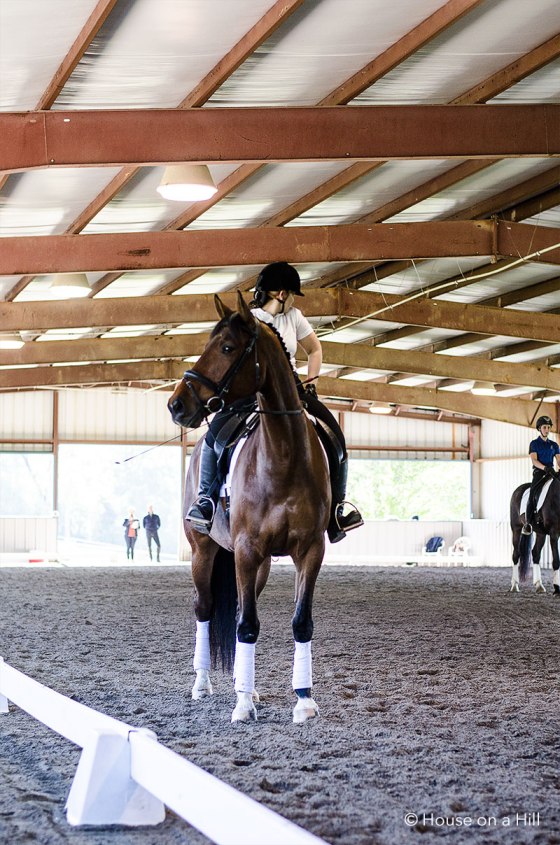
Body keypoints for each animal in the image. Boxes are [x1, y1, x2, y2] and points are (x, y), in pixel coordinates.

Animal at [168, 292, 330, 723]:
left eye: (226, 347)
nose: (176, 405)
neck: (282, 454)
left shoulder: (310, 550)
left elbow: (300, 623)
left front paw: (304, 700)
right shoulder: (245, 548)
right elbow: (245, 627)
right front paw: (241, 705)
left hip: (261, 565)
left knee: (243, 606)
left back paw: (250, 687)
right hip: (205, 551)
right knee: (205, 607)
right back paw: (203, 684)